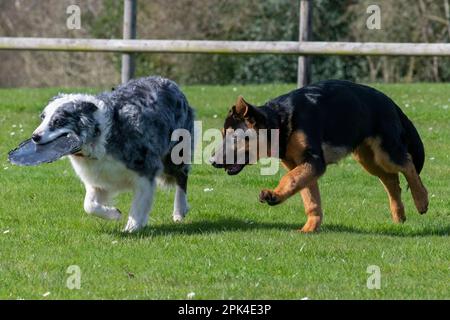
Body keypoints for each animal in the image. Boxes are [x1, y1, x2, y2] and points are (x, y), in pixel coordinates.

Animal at [211, 79, 428, 231]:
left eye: (234, 138)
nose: (212, 161)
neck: (281, 121)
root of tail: (390, 102)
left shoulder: (313, 162)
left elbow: (290, 179)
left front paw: (273, 195)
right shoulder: (302, 166)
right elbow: (309, 197)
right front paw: (310, 227)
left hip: (385, 153)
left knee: (408, 165)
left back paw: (421, 201)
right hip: (368, 159)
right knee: (391, 180)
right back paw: (399, 216)